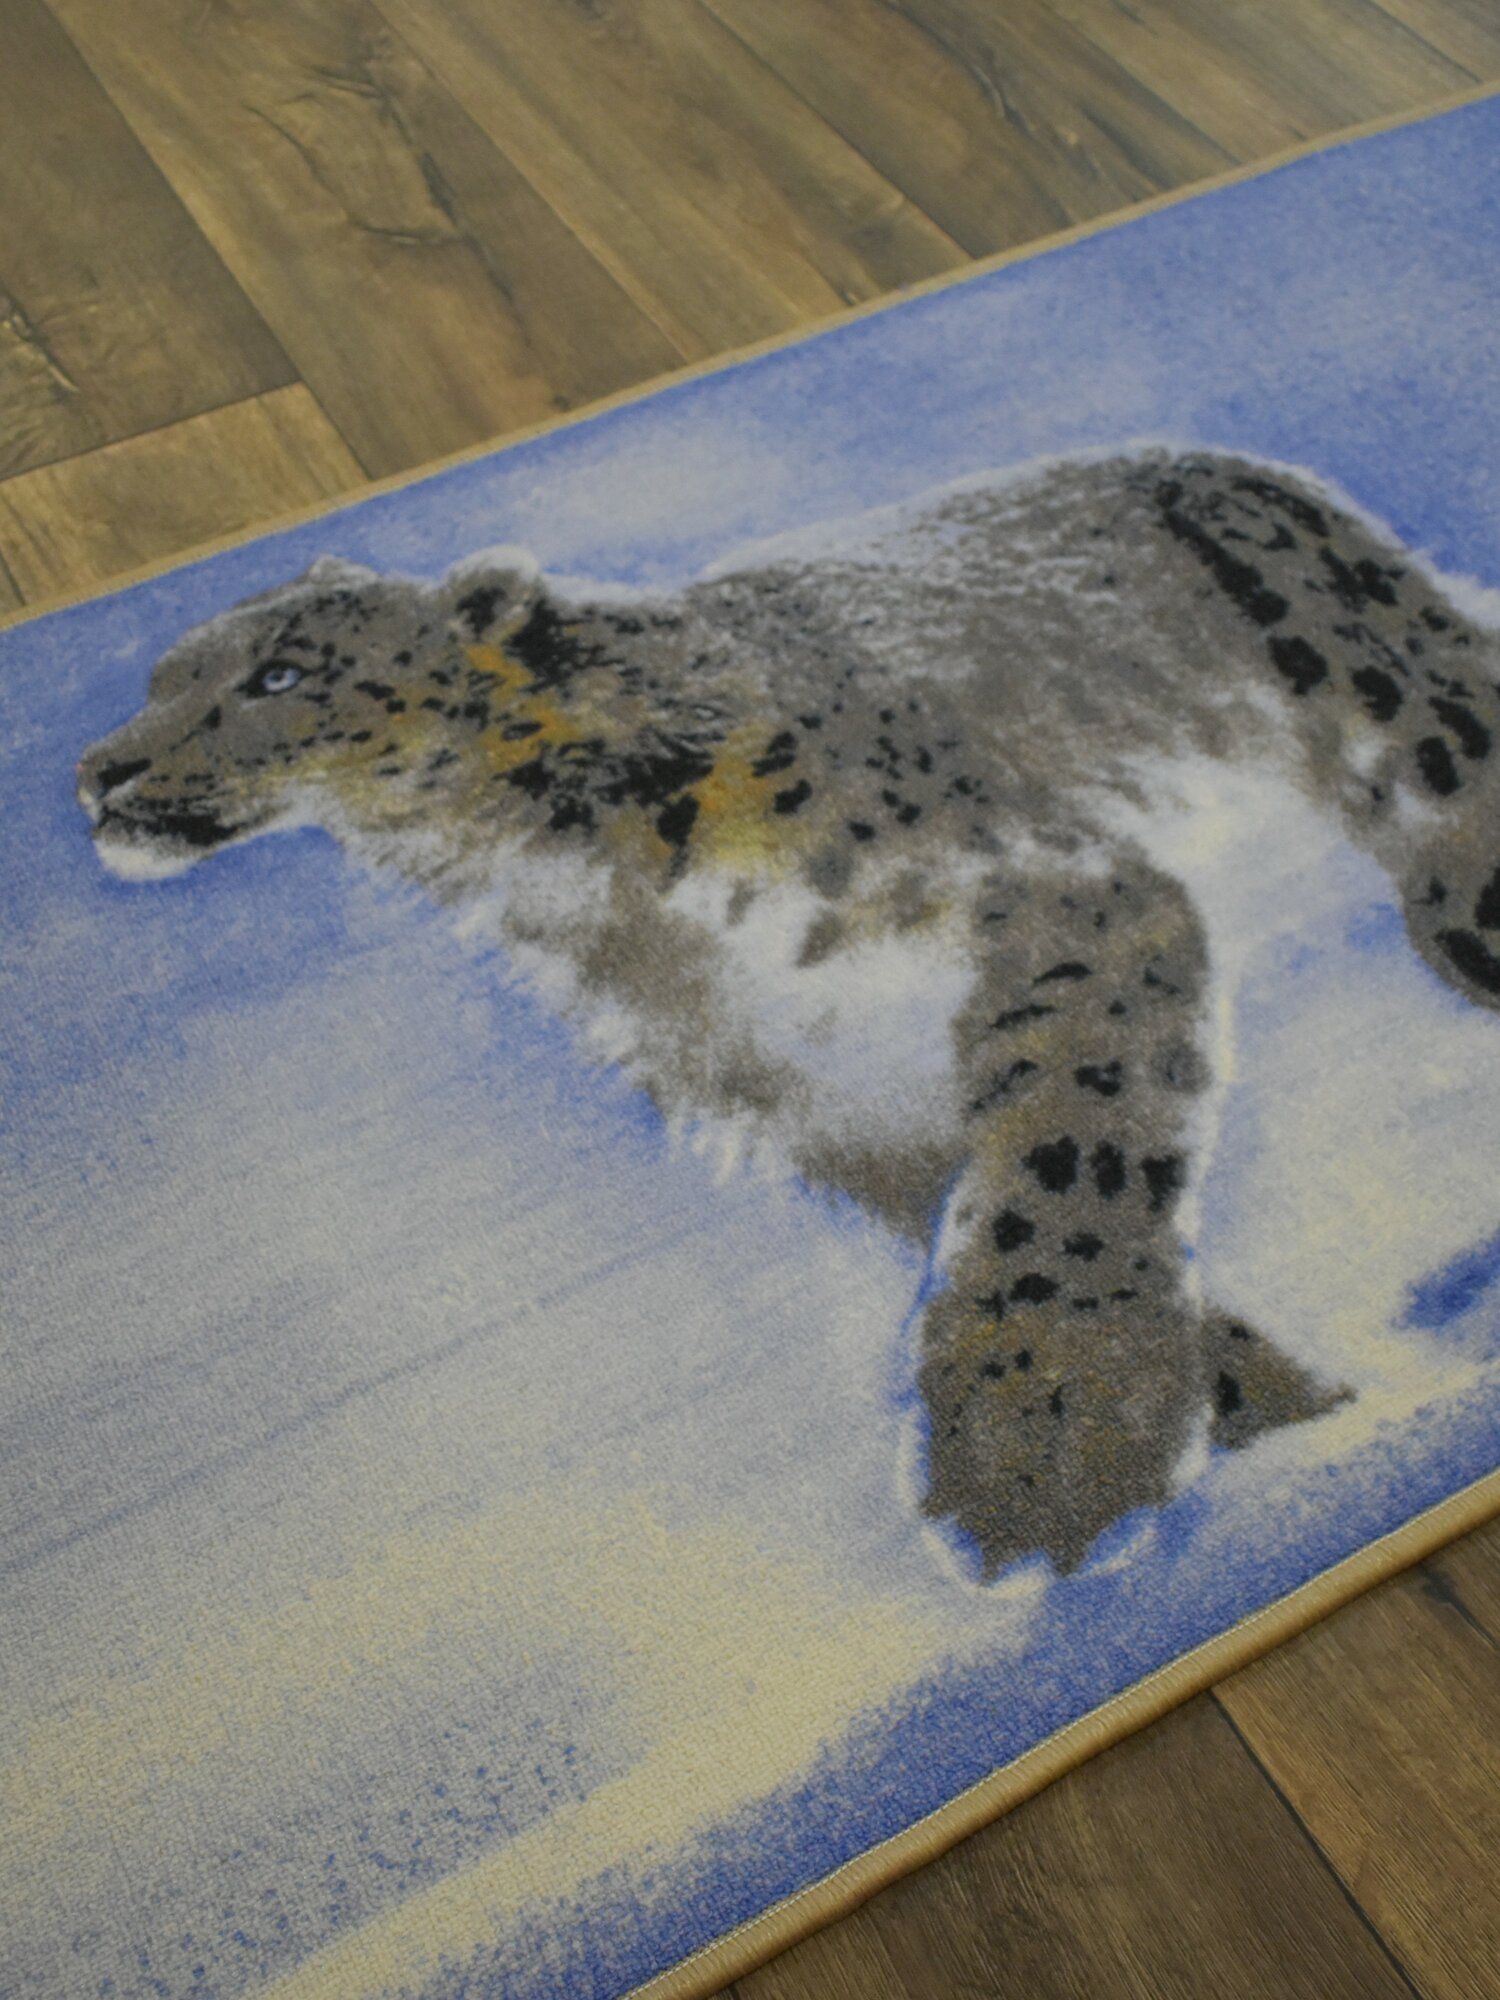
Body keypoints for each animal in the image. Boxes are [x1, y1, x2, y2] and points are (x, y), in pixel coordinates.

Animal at [76, 446, 1500, 1577]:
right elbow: (980, 1205)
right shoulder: (819, 1097)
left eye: (280, 675)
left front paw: (1047, 1445)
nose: (99, 770)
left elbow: (1061, 1163)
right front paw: (1261, 1407)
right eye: (155, 677)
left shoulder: (1066, 896)